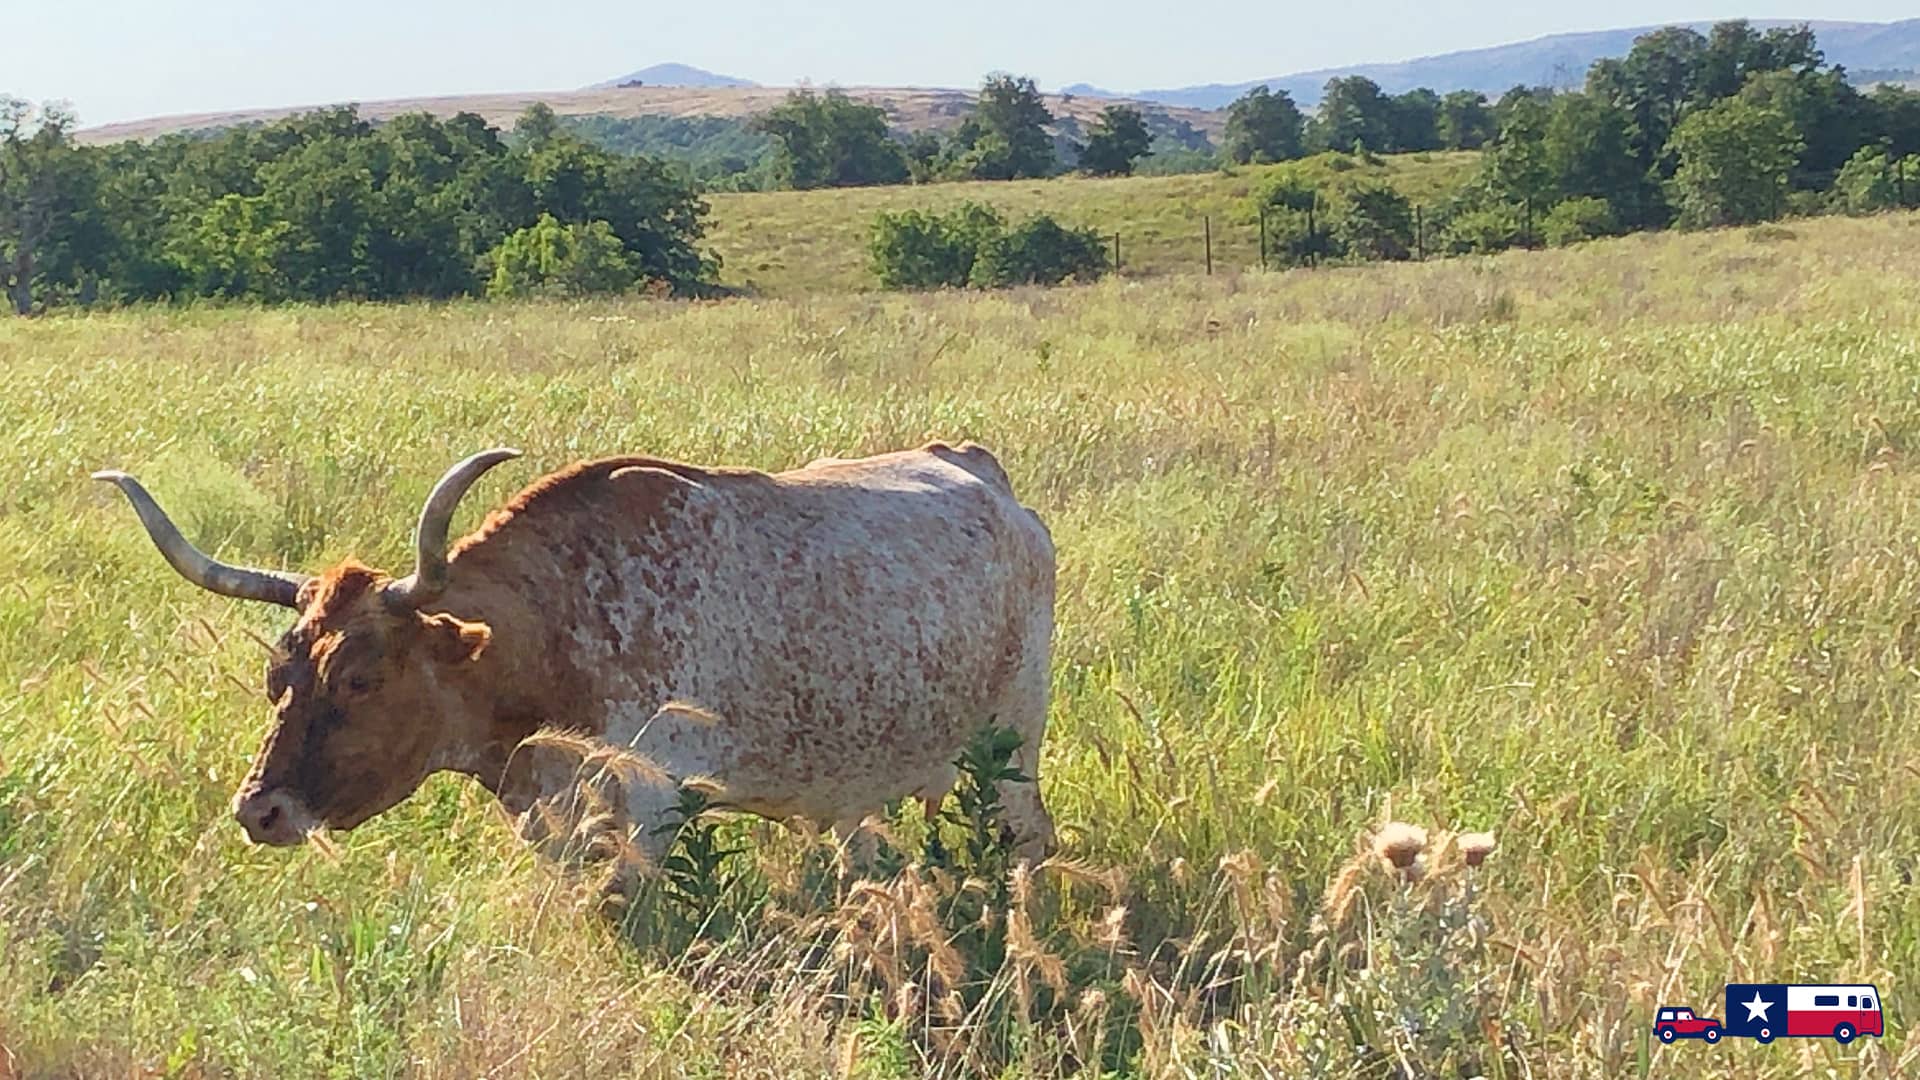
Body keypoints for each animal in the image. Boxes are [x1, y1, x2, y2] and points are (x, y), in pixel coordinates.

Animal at [97, 441, 1059, 868]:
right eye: (276, 679)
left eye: (363, 679)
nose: (259, 811)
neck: (559, 629)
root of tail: (980, 471)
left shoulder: (649, 810)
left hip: (1012, 756)